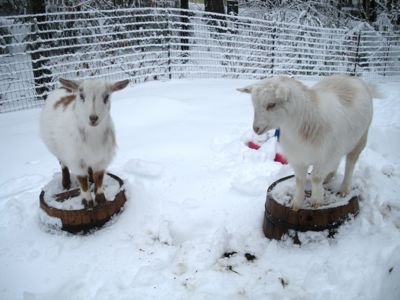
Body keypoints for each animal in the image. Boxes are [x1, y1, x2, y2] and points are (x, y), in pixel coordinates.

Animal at [39, 78, 129, 209]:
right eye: (81, 96)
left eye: (106, 97)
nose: (93, 118)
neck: (93, 135)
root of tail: (62, 88)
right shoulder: (76, 161)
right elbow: (82, 181)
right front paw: (88, 203)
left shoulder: (101, 159)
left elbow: (99, 178)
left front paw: (101, 199)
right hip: (59, 151)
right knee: (63, 165)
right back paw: (66, 184)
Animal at [239, 75, 376, 211]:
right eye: (254, 106)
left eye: (271, 104)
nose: (256, 128)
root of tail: (350, 77)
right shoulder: (298, 157)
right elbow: (300, 180)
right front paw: (296, 203)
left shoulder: (323, 157)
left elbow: (316, 178)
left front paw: (315, 201)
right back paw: (328, 177)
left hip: (361, 138)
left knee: (350, 164)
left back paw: (344, 188)